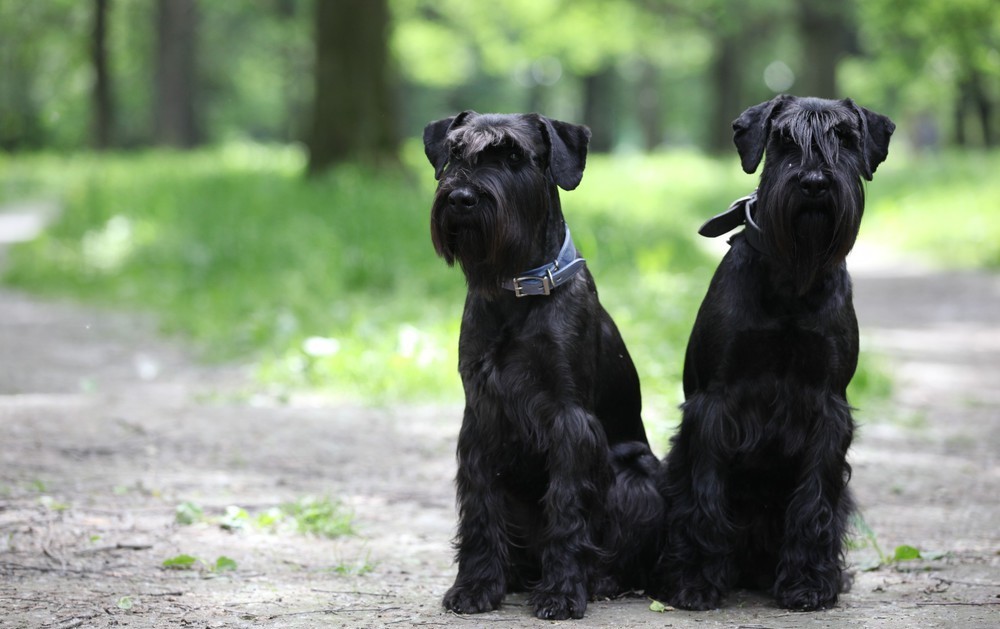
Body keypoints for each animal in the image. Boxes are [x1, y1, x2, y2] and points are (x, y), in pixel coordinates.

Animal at [652, 95, 896, 612]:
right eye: (783, 139)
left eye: (845, 138)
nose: (814, 182)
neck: (791, 277)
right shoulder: (715, 403)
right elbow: (705, 495)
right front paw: (697, 581)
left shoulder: (827, 405)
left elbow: (815, 501)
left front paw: (808, 583)